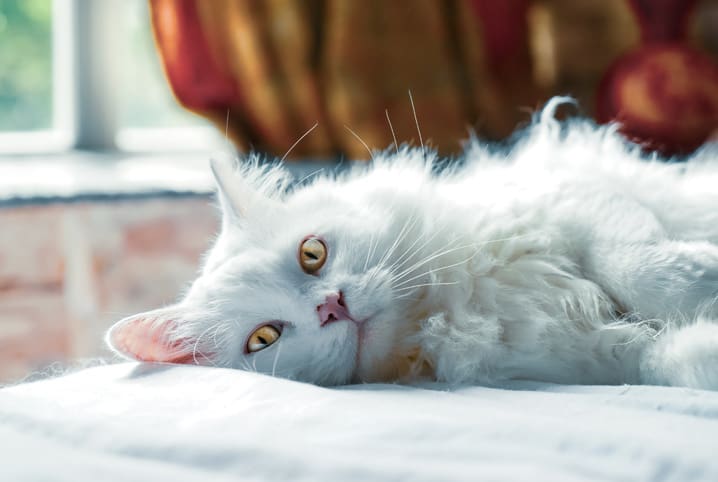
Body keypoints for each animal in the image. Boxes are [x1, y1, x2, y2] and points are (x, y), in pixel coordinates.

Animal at [105, 100, 718, 390]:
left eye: (312, 253)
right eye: (263, 338)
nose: (331, 307)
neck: (450, 309)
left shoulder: (579, 199)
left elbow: (642, 268)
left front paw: (704, 273)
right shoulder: (605, 360)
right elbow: (677, 357)